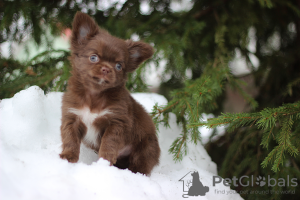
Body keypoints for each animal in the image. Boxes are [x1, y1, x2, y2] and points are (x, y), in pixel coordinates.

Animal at [59, 12, 161, 175]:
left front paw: (104, 163)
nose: (106, 69)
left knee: (141, 164)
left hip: (145, 149)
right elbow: (70, 139)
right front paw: (68, 157)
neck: (94, 95)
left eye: (119, 66)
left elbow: (109, 143)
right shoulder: (72, 117)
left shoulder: (116, 122)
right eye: (93, 57)